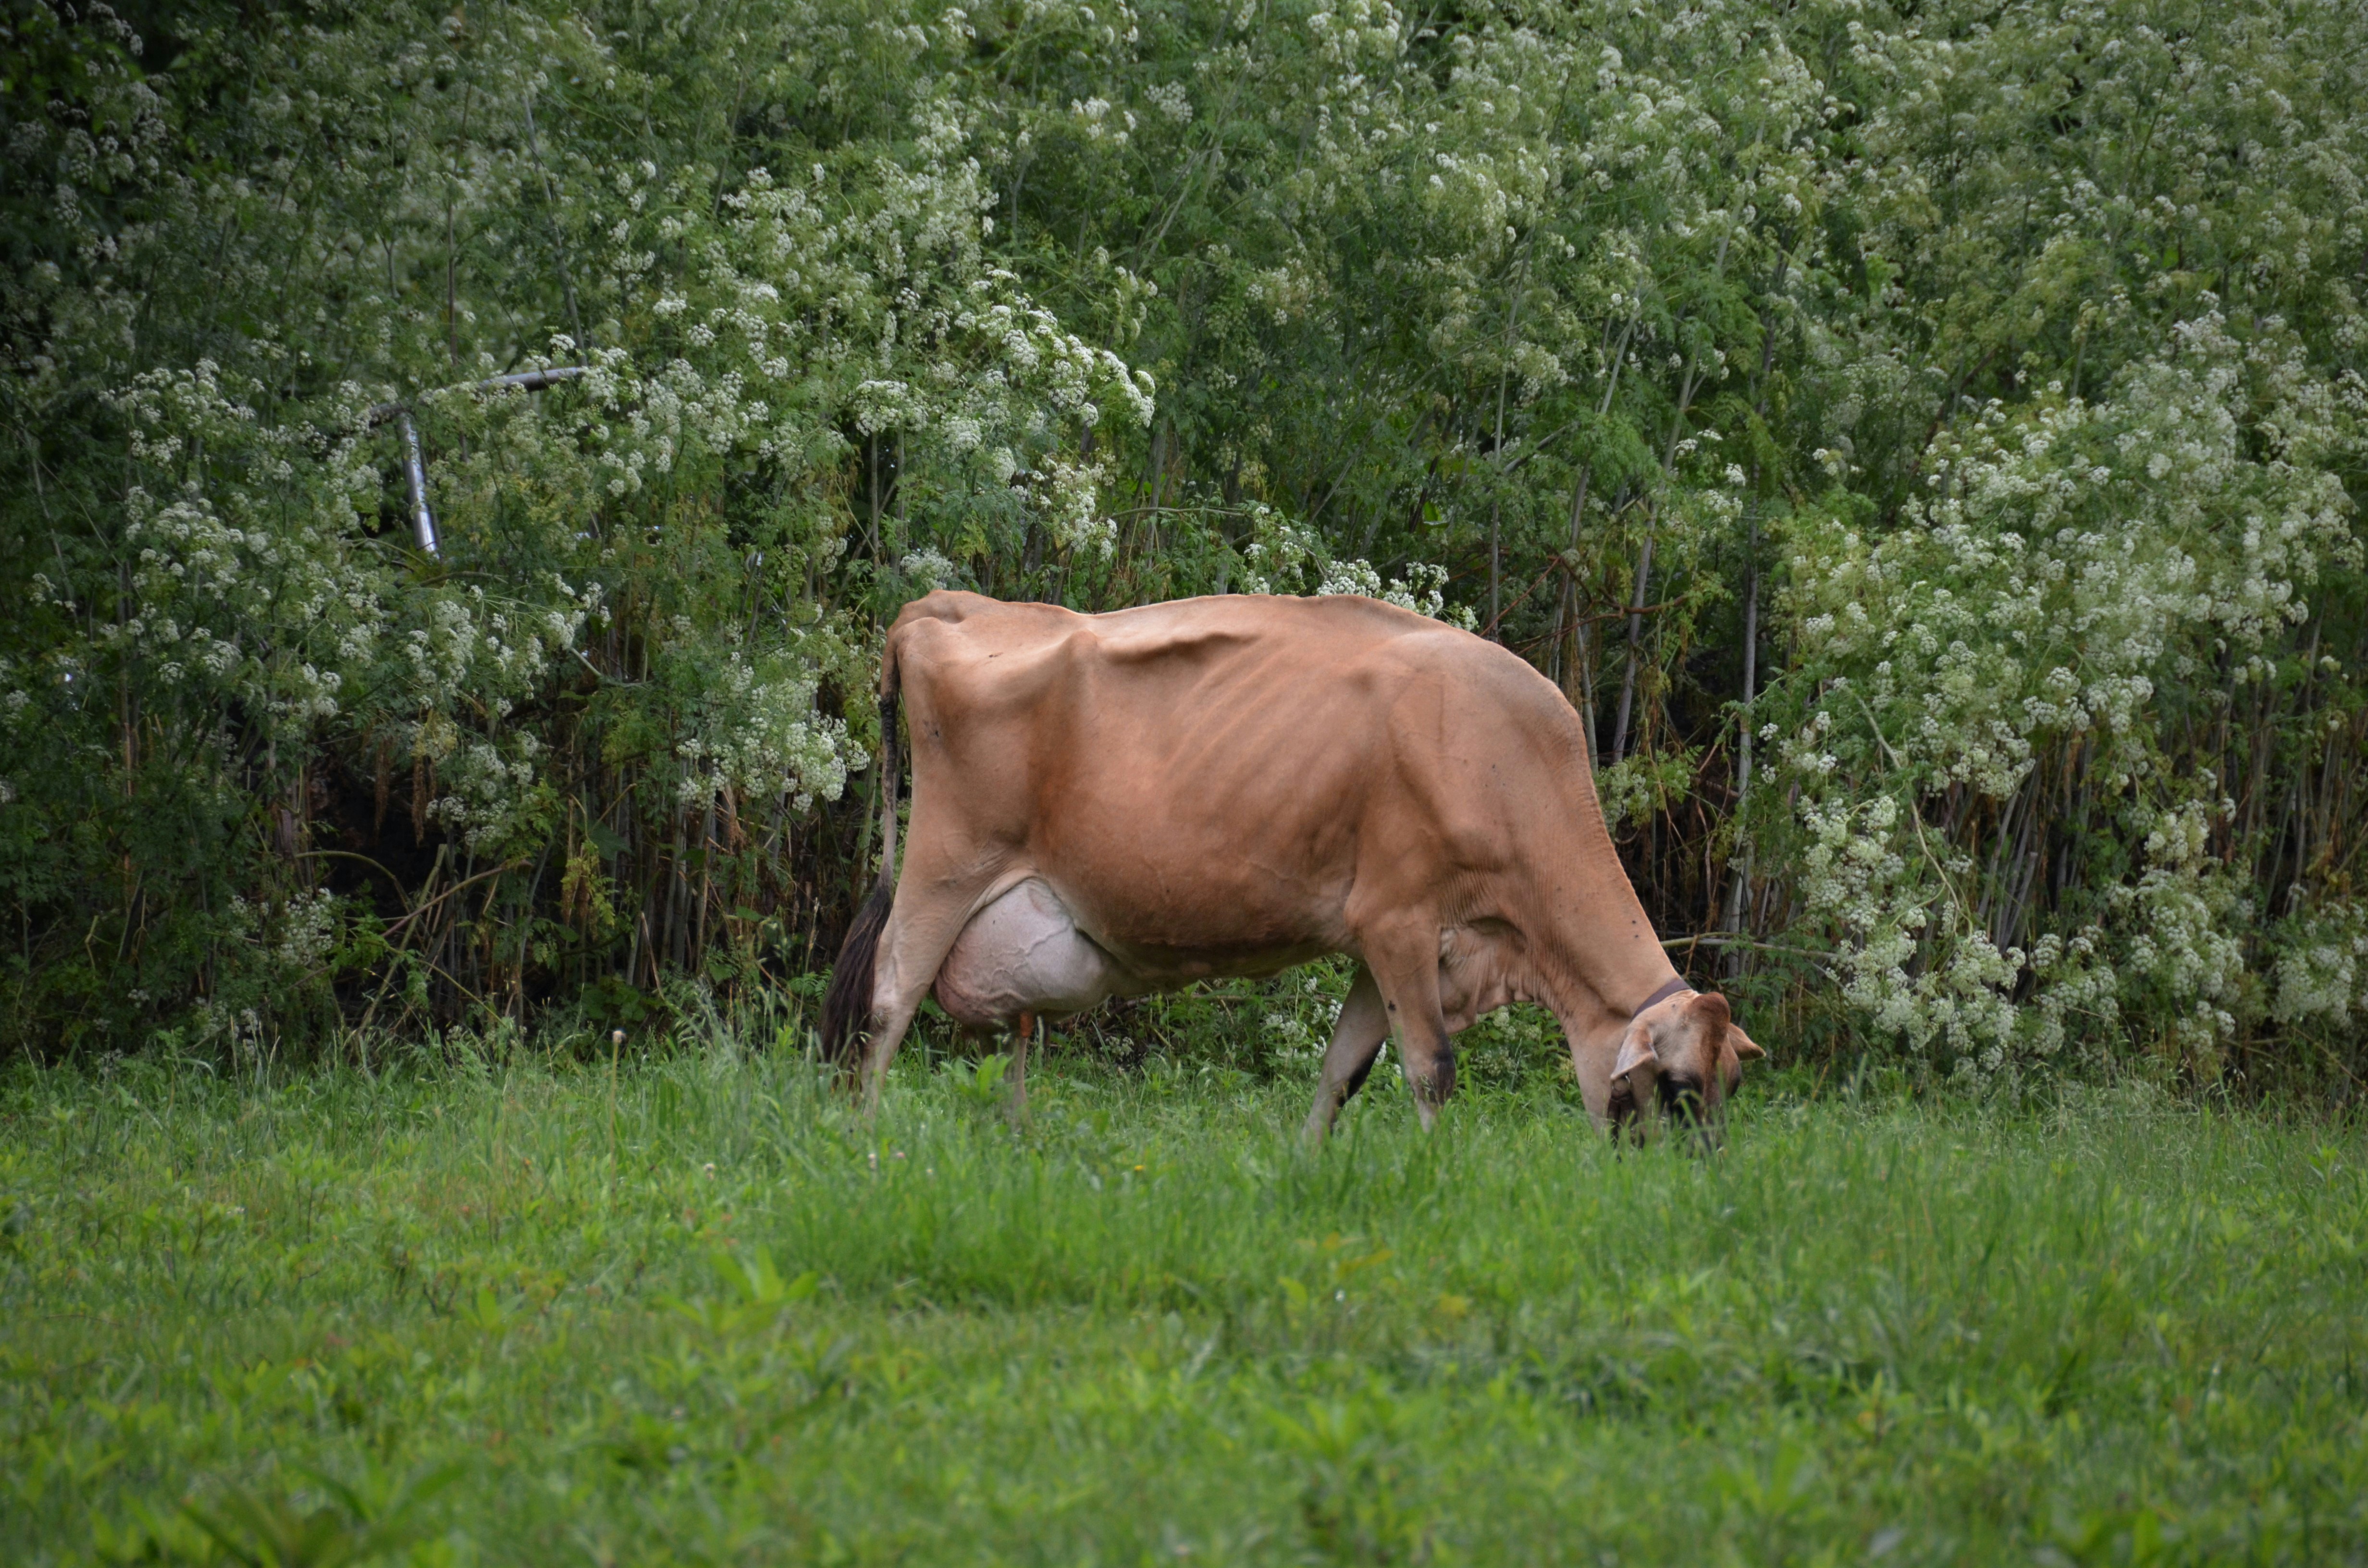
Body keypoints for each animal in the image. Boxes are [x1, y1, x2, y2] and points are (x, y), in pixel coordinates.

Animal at [820, 589, 1763, 1143]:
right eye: (1679, 1086)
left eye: (1730, 1085)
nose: (1692, 1184)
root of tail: (945, 603)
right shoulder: (1399, 920)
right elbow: (1432, 1069)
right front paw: (1438, 1177)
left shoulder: (1389, 944)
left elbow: (1342, 1069)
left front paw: (1308, 1170)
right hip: (946, 862)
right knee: (889, 998)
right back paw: (864, 1143)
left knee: (1002, 1030)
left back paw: (1015, 1141)